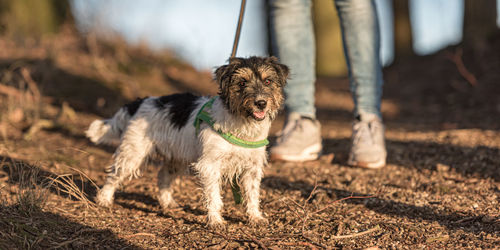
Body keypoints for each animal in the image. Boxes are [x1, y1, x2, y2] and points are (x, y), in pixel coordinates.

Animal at [86, 56, 290, 227]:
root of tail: (139, 102)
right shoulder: (210, 165)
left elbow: (252, 194)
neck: (242, 124)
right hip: (133, 153)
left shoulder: (252, 168)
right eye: (242, 82)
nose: (261, 103)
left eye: (268, 81)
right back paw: (104, 199)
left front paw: (255, 217)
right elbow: (213, 196)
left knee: (163, 176)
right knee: (115, 174)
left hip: (176, 157)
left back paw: (168, 203)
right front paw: (215, 221)